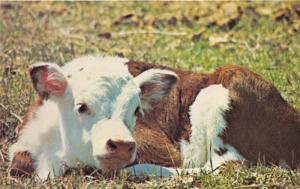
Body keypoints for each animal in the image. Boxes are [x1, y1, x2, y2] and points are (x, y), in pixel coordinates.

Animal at [9, 55, 300, 179]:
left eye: (137, 111)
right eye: (81, 107)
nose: (122, 145)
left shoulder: (160, 149)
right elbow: (19, 162)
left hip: (227, 83)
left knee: (227, 166)